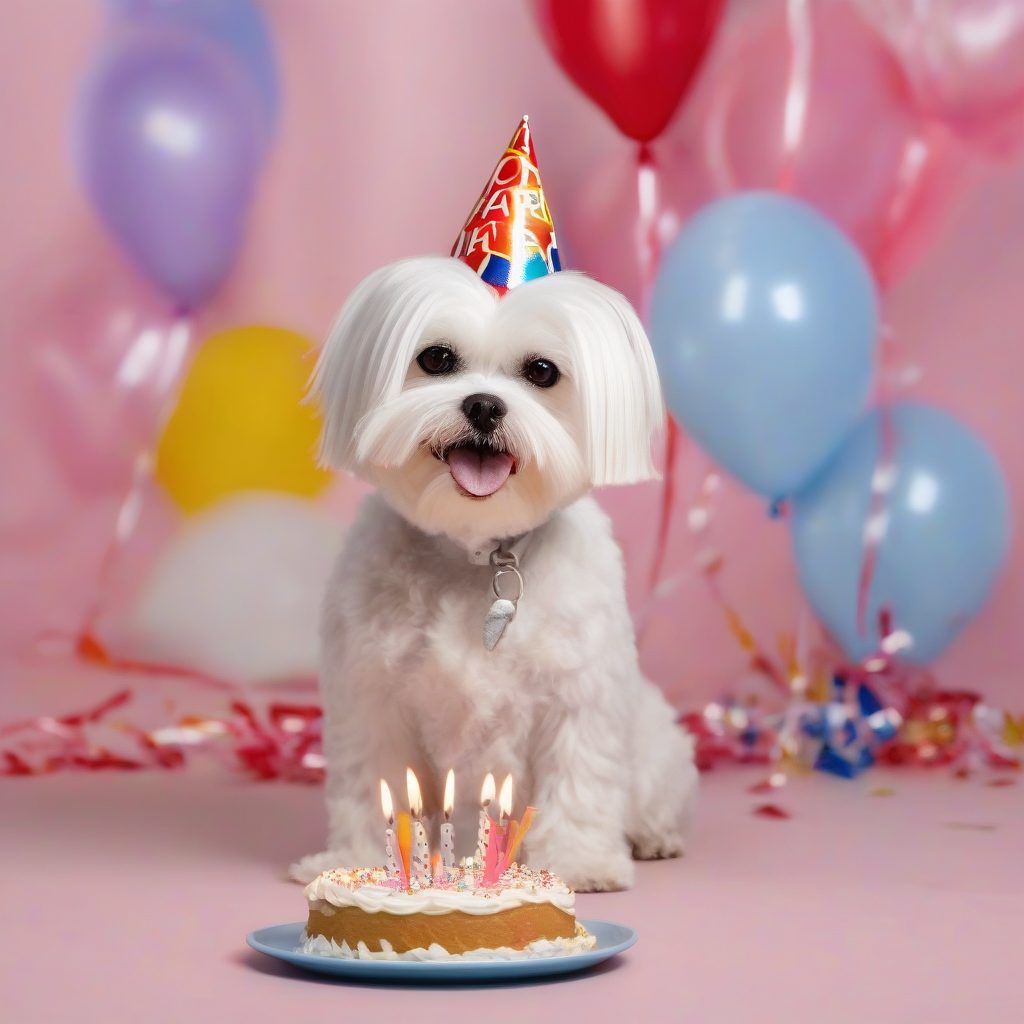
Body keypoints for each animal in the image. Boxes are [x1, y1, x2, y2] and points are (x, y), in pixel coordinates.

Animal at [292, 251, 700, 892]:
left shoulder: (577, 699)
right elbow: (372, 786)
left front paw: (582, 863)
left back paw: (652, 837)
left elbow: (580, 780)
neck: (476, 554)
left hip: (657, 747)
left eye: (542, 371)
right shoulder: (372, 697)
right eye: (436, 359)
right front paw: (356, 859)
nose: (483, 405)